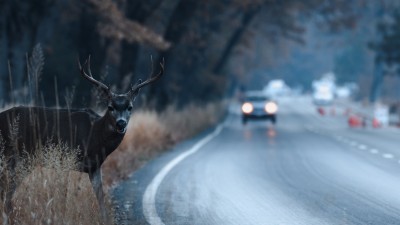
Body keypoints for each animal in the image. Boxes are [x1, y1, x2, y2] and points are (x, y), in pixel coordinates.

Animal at [0, 55, 164, 220]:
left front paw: (104, 218)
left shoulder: (94, 166)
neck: (96, 136)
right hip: (18, 155)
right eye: (110, 107)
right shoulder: (68, 157)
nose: (121, 123)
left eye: (130, 107)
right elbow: (64, 194)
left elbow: (100, 196)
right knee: (7, 189)